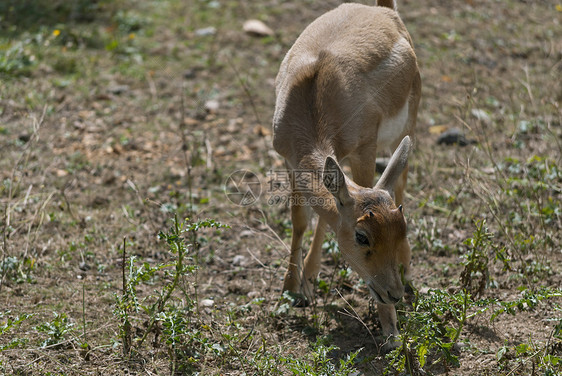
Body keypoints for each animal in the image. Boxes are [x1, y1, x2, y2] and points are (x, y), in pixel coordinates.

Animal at [272, 0, 420, 346]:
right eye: (361, 235)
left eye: (402, 228)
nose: (393, 294)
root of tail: (384, 10)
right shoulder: (289, 159)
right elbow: (301, 220)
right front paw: (291, 289)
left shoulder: (365, 147)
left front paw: (391, 331)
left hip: (406, 128)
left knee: (402, 182)